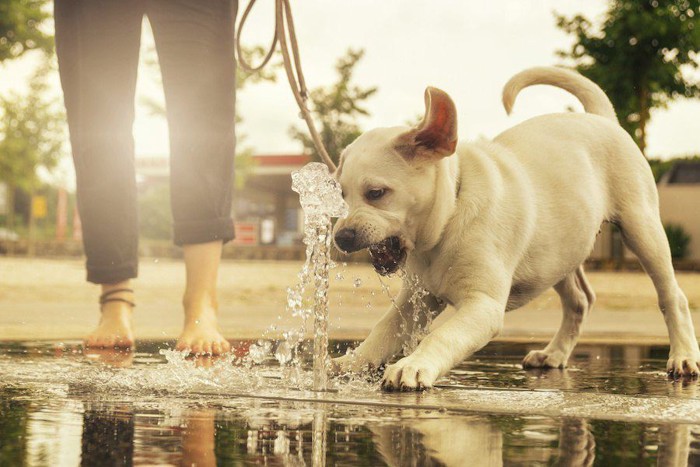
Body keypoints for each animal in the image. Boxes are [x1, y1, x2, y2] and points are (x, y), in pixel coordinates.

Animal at [332, 66, 700, 392]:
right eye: (341, 194)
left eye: (376, 193)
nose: (341, 237)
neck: (450, 217)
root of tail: (602, 118)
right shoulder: (416, 300)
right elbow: (382, 331)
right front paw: (350, 364)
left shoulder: (482, 307)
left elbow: (442, 335)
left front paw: (413, 366)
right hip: (559, 252)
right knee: (580, 300)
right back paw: (554, 354)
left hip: (642, 229)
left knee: (672, 296)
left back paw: (683, 357)